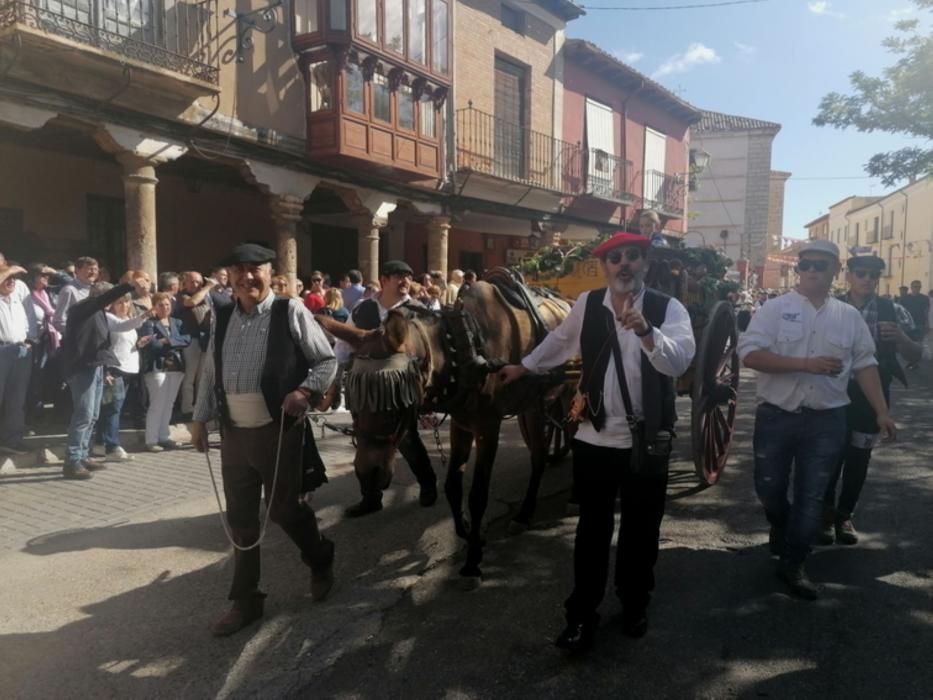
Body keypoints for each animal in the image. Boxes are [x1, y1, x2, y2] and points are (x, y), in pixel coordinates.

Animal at [316, 276, 572, 584]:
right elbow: (452, 487)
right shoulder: (461, 423)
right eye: (352, 400)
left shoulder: (488, 426)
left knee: (550, 452)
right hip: (534, 404)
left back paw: (533, 511)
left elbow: (477, 495)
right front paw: (467, 531)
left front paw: (472, 561)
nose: (369, 475)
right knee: (542, 450)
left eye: (394, 404)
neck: (464, 347)